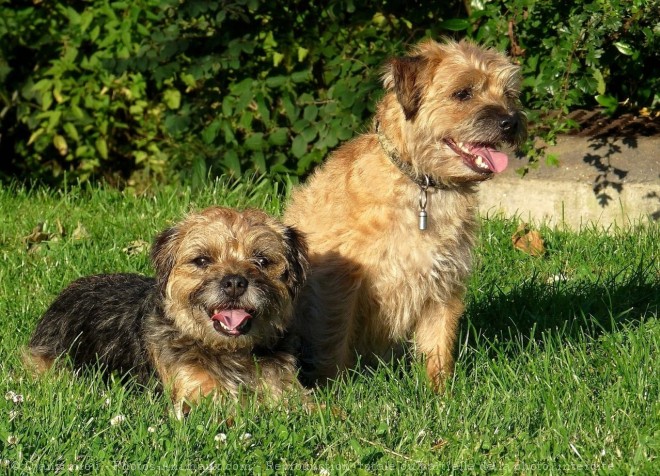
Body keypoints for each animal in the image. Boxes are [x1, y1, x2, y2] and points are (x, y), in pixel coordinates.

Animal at [284, 39, 524, 390]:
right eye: (463, 93)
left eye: (509, 94)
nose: (511, 122)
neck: (422, 185)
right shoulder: (339, 285)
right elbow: (334, 338)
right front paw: (334, 390)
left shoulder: (443, 282)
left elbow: (438, 344)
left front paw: (440, 393)